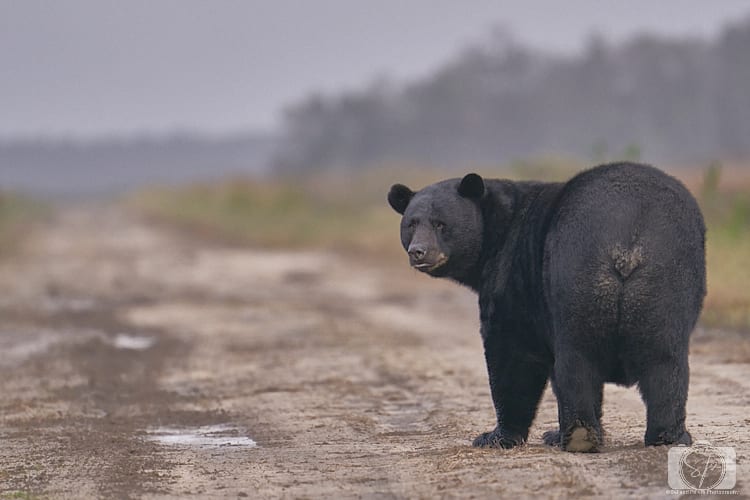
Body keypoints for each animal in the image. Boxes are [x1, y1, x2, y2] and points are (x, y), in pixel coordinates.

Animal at [387, 162, 706, 452]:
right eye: (411, 223)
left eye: (441, 223)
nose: (419, 252)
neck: (496, 234)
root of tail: (626, 244)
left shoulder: (514, 277)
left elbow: (511, 353)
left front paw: (495, 436)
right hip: (669, 282)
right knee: (665, 360)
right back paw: (668, 435)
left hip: (574, 276)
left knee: (576, 360)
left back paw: (576, 436)